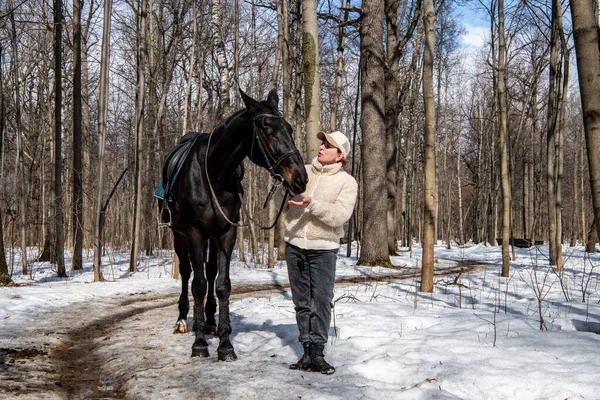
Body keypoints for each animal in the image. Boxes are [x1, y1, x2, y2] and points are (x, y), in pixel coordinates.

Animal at [158, 89, 308, 360]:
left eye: (290, 129)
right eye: (267, 130)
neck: (214, 173)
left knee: (209, 271)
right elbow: (197, 285)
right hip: (178, 235)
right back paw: (183, 320)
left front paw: (225, 342)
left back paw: (209, 321)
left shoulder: (227, 233)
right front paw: (199, 344)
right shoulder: (194, 233)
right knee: (186, 272)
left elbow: (222, 285)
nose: (299, 178)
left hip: (212, 236)